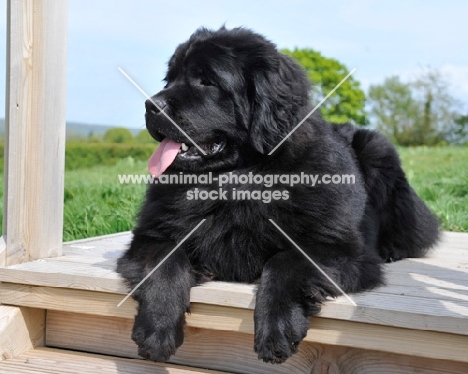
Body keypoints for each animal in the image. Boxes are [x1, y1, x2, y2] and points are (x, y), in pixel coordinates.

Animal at [116, 27, 438, 366]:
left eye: (207, 81)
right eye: (170, 79)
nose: (151, 105)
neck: (238, 181)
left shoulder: (341, 249)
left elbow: (285, 261)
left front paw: (276, 331)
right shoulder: (151, 236)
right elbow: (166, 261)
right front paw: (157, 329)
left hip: (378, 150)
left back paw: (392, 249)